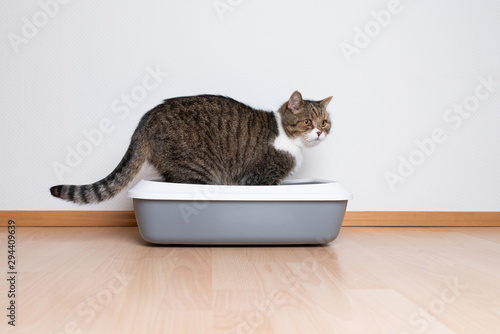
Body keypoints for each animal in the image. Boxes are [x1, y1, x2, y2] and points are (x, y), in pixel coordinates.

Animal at [49, 91, 332, 205]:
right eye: (308, 122)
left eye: (325, 122)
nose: (319, 132)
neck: (289, 138)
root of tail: (145, 119)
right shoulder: (260, 179)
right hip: (196, 168)